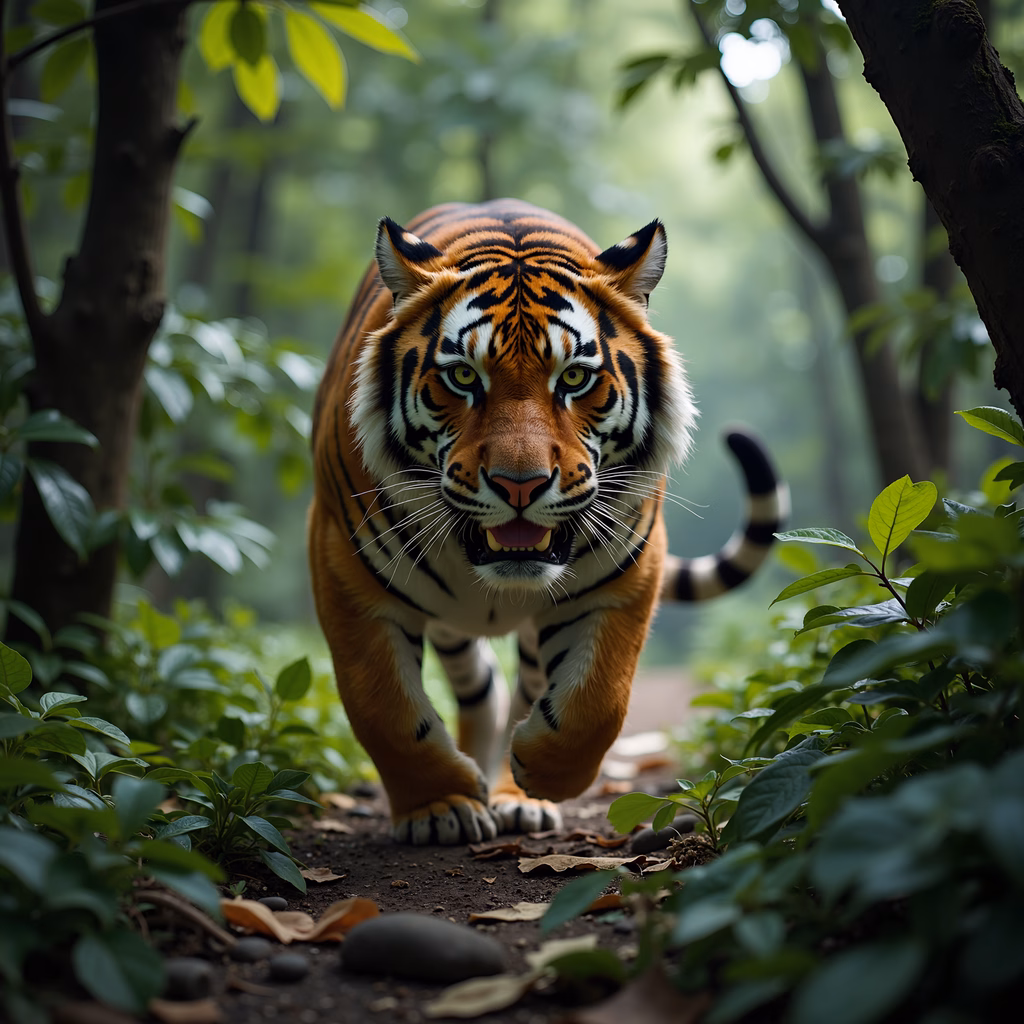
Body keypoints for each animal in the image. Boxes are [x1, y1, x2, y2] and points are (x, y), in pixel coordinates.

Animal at [308, 199, 787, 845]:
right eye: (463, 377)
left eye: (575, 379)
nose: (520, 484)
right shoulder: (343, 566)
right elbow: (383, 707)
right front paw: (439, 808)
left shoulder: (625, 573)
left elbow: (598, 701)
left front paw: (539, 770)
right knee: (479, 683)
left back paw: (516, 799)